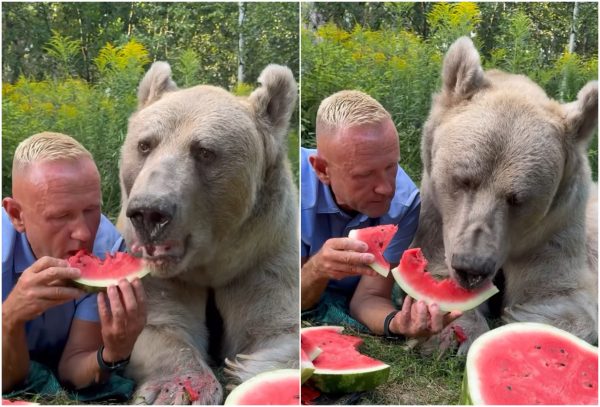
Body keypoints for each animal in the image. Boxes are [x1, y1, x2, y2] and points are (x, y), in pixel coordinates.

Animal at [118, 61, 300, 404]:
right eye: (144, 144)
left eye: (204, 151)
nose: (149, 213)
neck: (211, 263)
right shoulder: (164, 275)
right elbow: (160, 325)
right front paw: (176, 388)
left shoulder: (264, 257)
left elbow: (279, 328)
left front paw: (247, 367)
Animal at [412, 35, 600, 354]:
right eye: (463, 180)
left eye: (517, 199)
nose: (471, 268)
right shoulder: (436, 213)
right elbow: (433, 261)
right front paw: (455, 332)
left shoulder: (555, 227)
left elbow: (559, 290)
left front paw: (524, 315)